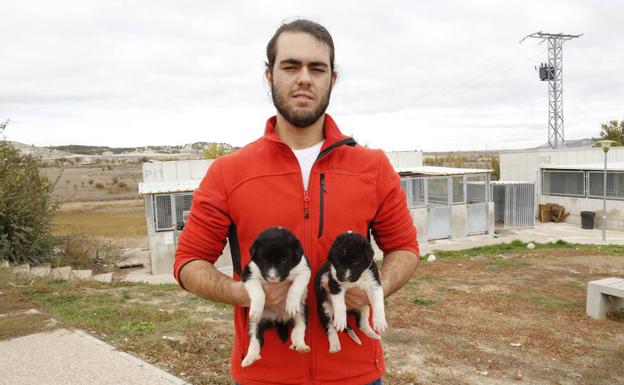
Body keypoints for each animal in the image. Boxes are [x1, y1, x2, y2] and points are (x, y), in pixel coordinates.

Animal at [243, 226, 312, 368]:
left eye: (283, 260)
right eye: (264, 259)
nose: (273, 277)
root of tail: (278, 318)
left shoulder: (304, 270)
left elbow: (295, 287)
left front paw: (291, 304)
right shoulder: (249, 273)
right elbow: (258, 292)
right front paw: (256, 309)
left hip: (302, 313)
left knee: (298, 329)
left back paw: (300, 346)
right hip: (255, 323)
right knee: (255, 339)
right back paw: (250, 358)